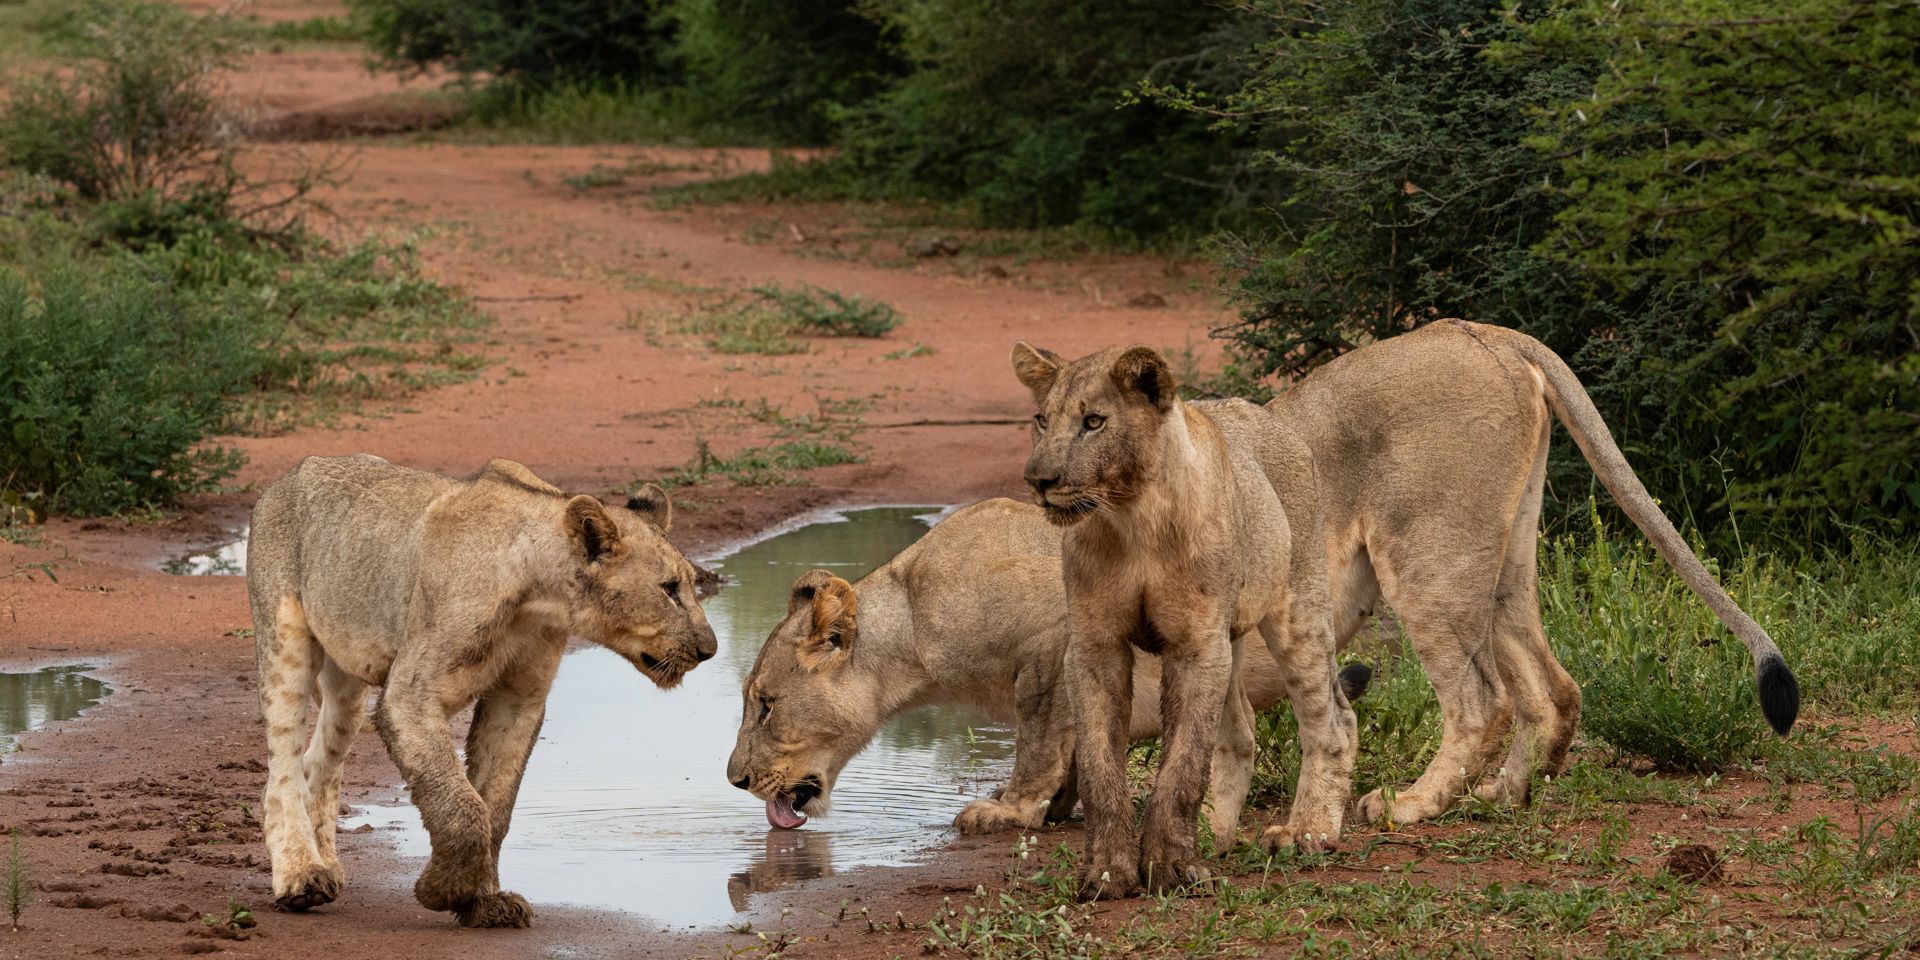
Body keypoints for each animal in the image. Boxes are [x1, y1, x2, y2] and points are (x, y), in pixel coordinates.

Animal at [247, 455, 716, 928]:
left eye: (691, 585)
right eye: (669, 589)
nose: (709, 650)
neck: (536, 595)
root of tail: (292, 473)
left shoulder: (519, 699)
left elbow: (495, 806)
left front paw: (483, 902)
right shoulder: (410, 698)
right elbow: (463, 806)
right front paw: (440, 889)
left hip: (348, 678)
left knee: (318, 763)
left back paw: (326, 865)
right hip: (285, 641)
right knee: (282, 770)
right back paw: (301, 876)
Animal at [1011, 343, 1358, 897]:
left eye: (1094, 422)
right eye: (1042, 420)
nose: (1039, 481)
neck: (1132, 517)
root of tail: (1270, 417)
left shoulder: (1197, 645)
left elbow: (1183, 763)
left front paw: (1171, 867)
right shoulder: (1094, 645)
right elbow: (1099, 766)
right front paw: (1108, 870)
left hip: (1297, 607)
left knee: (1332, 719)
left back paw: (1308, 831)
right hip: (1231, 637)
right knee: (1240, 730)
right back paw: (1215, 835)